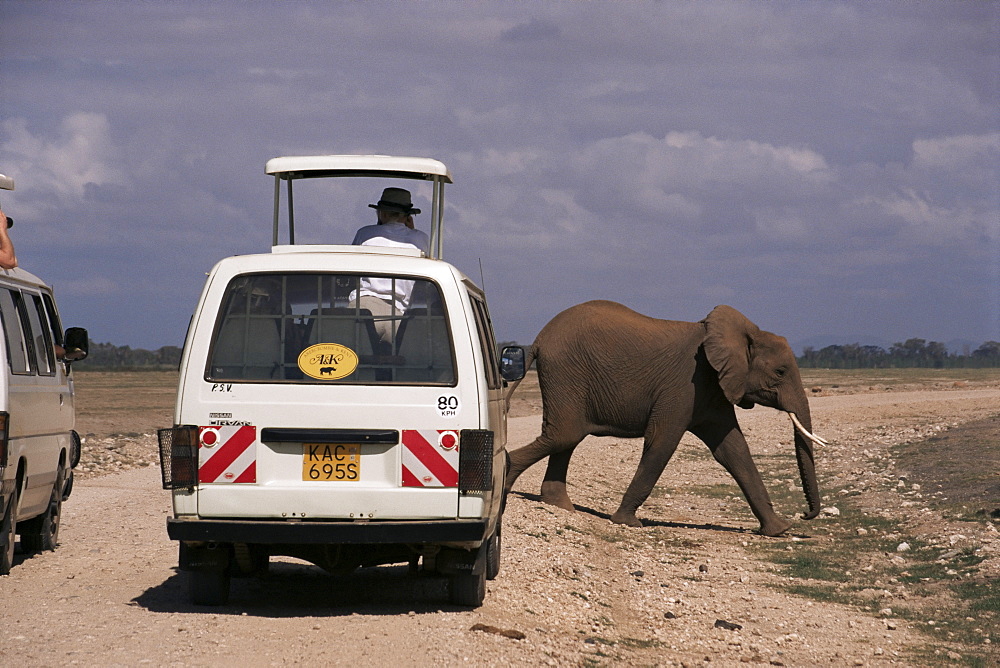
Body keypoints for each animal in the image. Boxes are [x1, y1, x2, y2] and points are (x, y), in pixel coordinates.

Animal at [508, 302, 828, 536]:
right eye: (780, 372)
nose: (805, 514)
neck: (746, 332)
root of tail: (538, 339)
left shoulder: (713, 389)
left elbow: (733, 450)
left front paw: (779, 530)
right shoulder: (685, 384)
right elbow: (662, 442)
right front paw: (626, 523)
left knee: (567, 437)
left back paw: (560, 506)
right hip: (566, 373)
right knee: (565, 435)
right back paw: (510, 478)